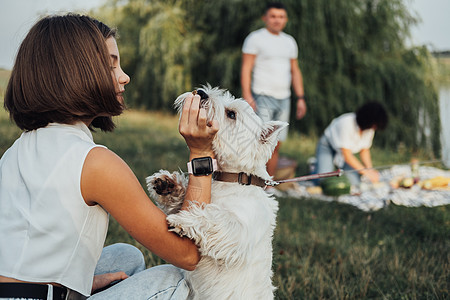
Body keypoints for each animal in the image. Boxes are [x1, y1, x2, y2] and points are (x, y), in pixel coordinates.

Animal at [148, 85, 288, 298]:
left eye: (231, 114)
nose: (201, 92)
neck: (234, 178)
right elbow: (184, 201)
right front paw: (167, 184)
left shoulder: (240, 233)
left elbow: (215, 218)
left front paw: (182, 221)